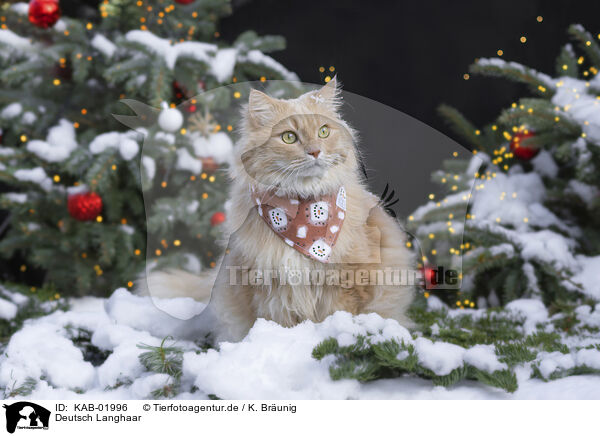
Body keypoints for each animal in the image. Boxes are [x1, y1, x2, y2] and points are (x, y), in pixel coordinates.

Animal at [139, 78, 414, 344]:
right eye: (289, 137)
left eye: (323, 132)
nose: (315, 151)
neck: (305, 217)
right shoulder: (267, 288)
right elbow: (276, 323)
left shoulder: (348, 282)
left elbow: (338, 316)